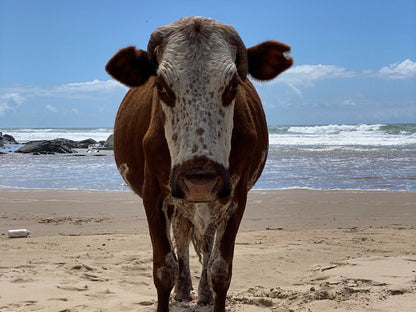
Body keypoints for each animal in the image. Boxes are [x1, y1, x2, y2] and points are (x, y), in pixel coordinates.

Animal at [104, 17, 292, 312]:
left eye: (234, 85)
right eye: (161, 85)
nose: (199, 180)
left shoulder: (236, 197)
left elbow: (220, 269)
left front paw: (211, 291)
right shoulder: (153, 195)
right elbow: (164, 268)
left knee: (204, 244)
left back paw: (202, 293)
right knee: (181, 240)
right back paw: (183, 289)